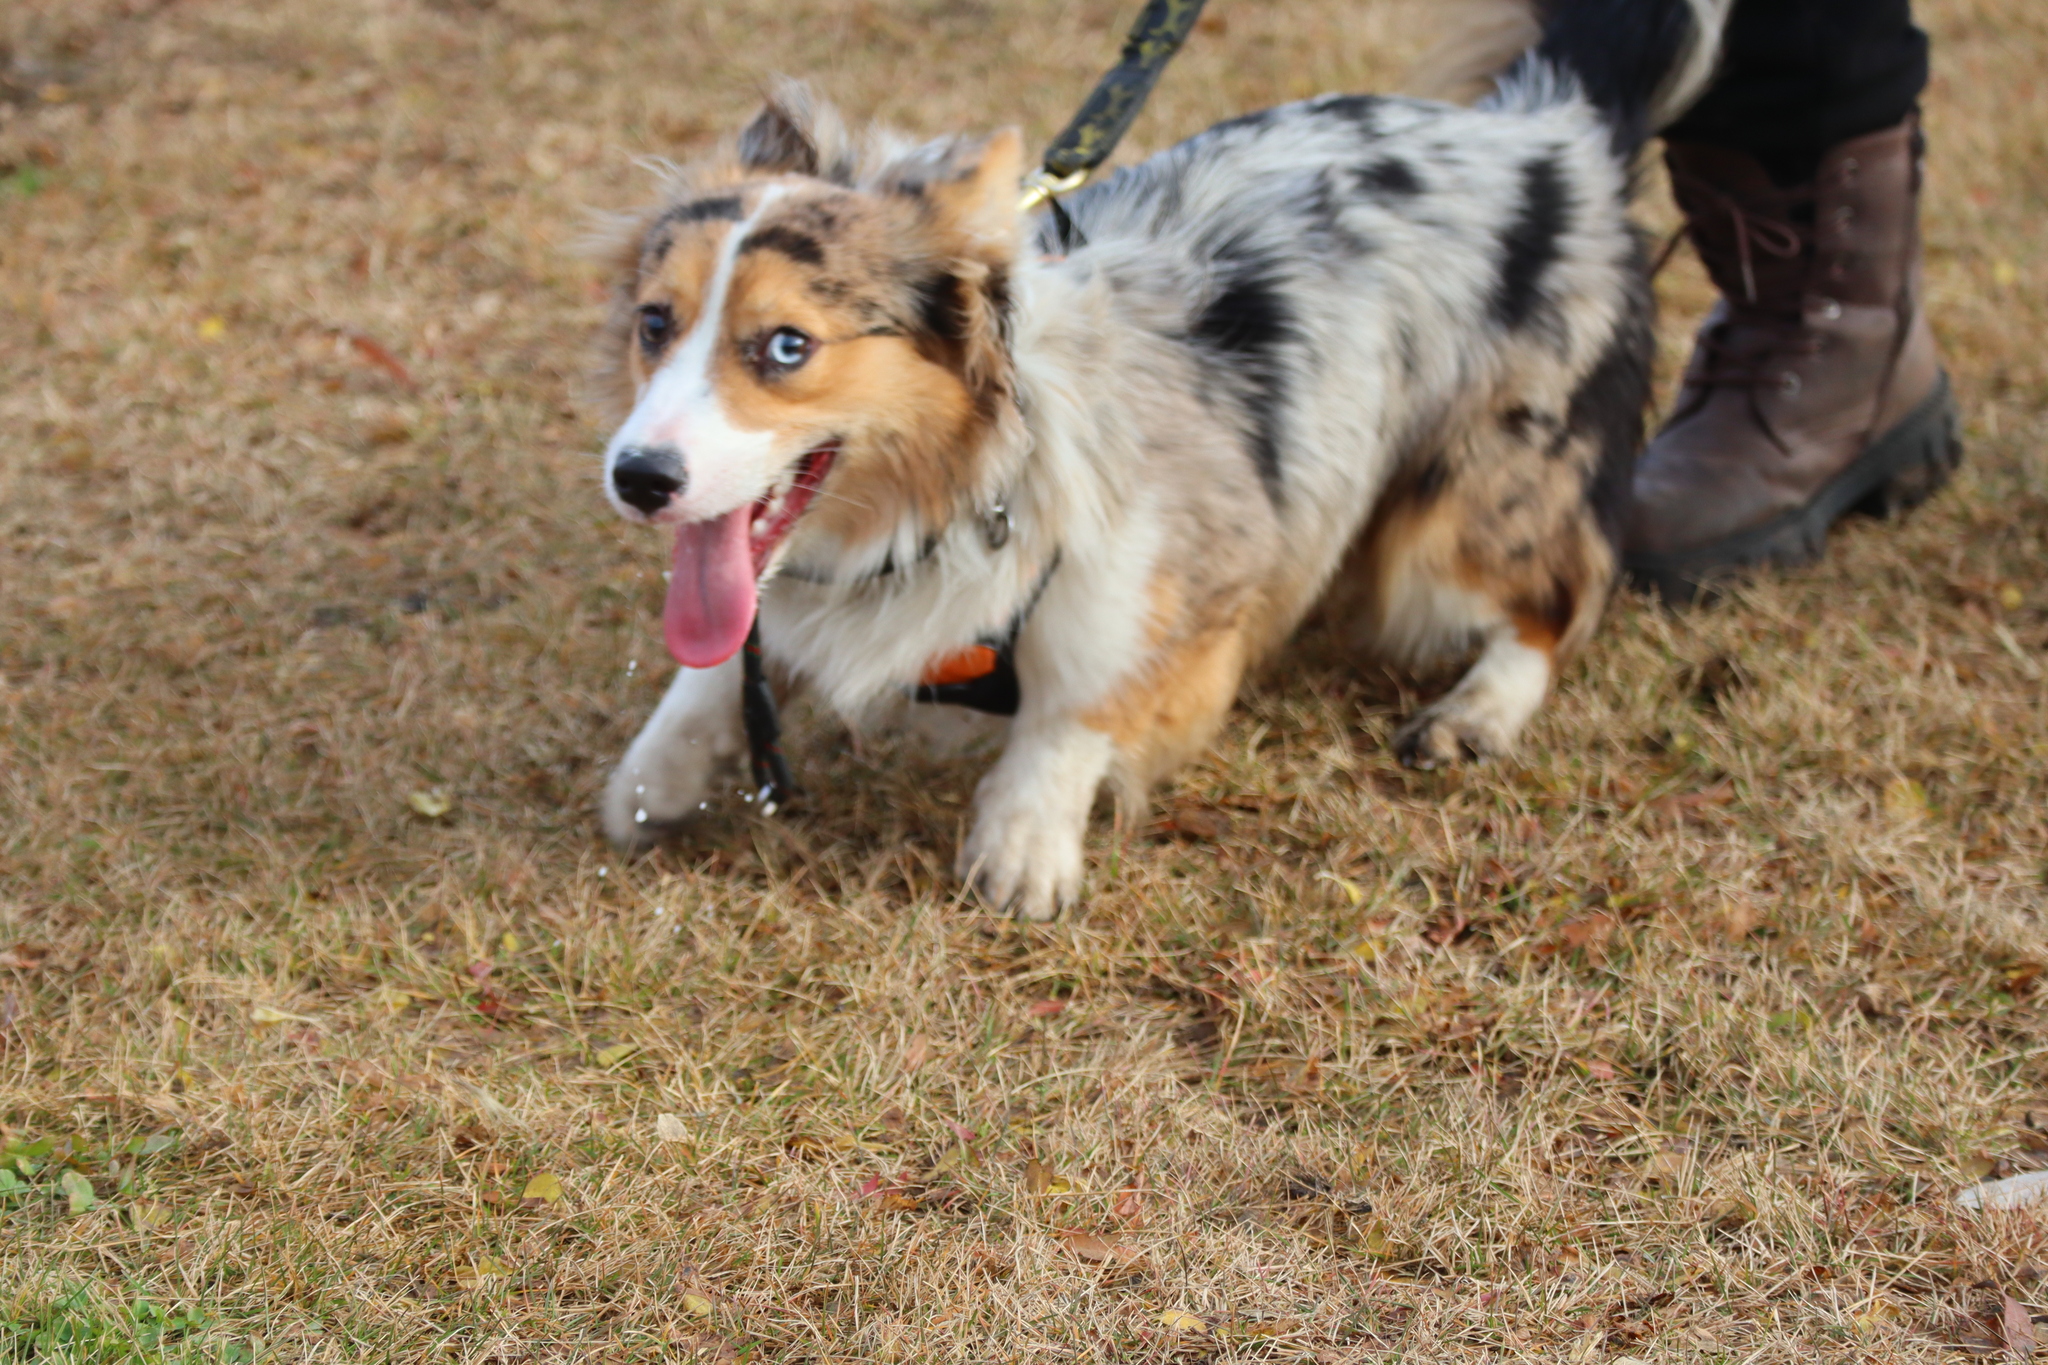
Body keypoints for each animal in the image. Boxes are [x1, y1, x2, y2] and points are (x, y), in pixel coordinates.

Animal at [589, 2, 1728, 916]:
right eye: (655, 322)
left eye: (786, 347)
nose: (636, 479)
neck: (946, 495)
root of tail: (1552, 125)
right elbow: (715, 666)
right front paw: (654, 775)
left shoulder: (1190, 553)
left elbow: (1079, 695)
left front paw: (1023, 843)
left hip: (1469, 500)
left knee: (1550, 604)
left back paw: (1474, 713)